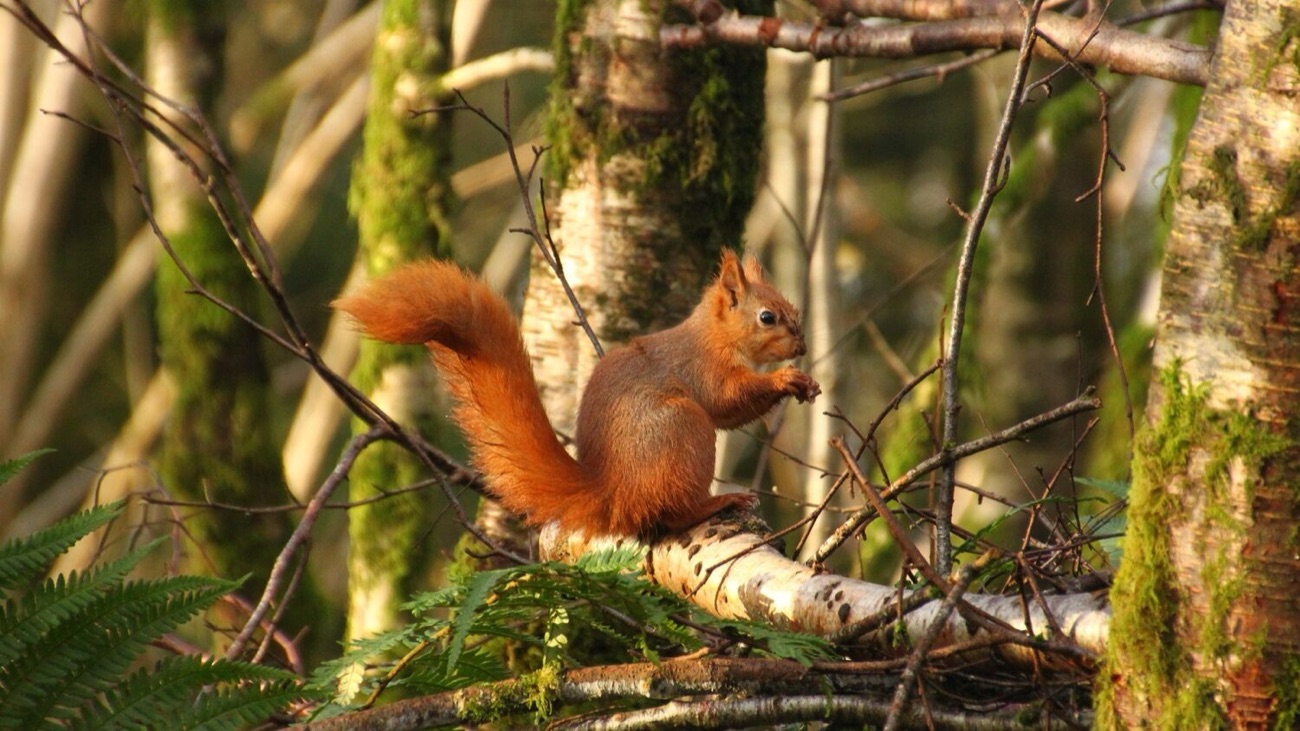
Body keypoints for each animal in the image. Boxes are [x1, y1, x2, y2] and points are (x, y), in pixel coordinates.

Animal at [333, 250, 820, 538]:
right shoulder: (703, 370)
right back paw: (717, 502)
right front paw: (785, 380)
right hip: (683, 429)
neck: (715, 336)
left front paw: (804, 383)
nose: (802, 347)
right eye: (767, 317)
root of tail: (612, 494)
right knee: (668, 513)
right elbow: (726, 401)